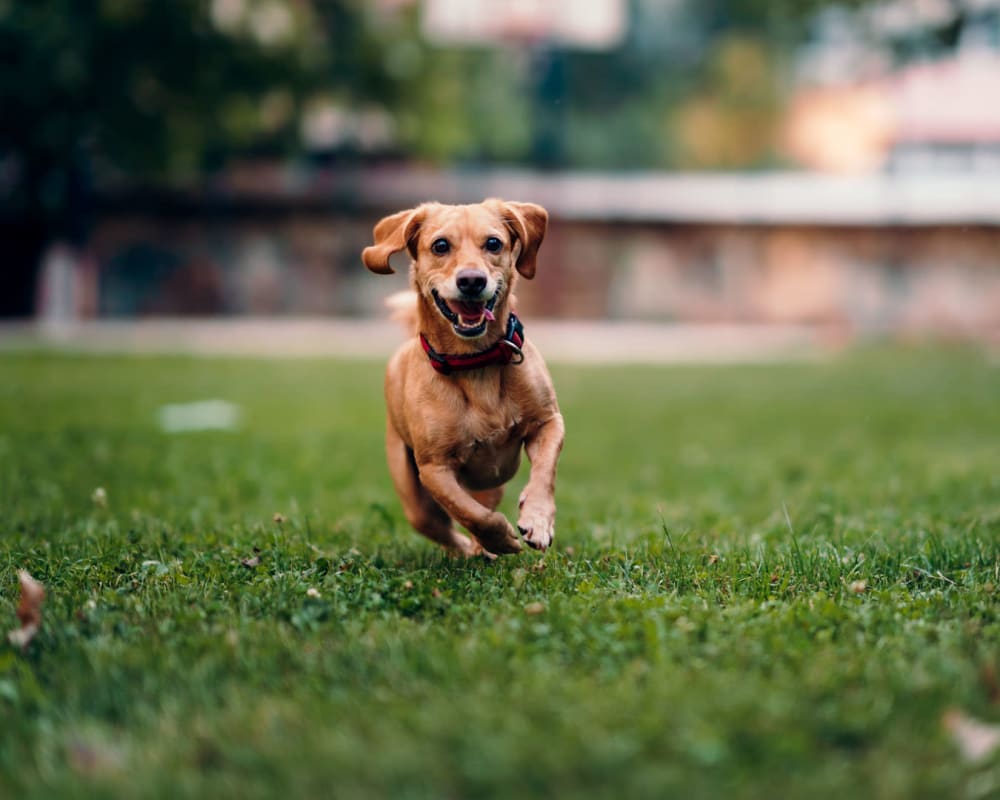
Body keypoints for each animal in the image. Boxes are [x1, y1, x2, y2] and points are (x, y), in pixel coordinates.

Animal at [360, 198, 564, 556]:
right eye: (440, 246)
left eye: (494, 243)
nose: (471, 280)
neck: (475, 362)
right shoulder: (434, 469)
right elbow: (471, 514)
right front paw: (501, 539)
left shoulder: (548, 422)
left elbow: (544, 472)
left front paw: (538, 520)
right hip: (412, 494)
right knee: (438, 525)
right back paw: (471, 551)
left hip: (490, 486)